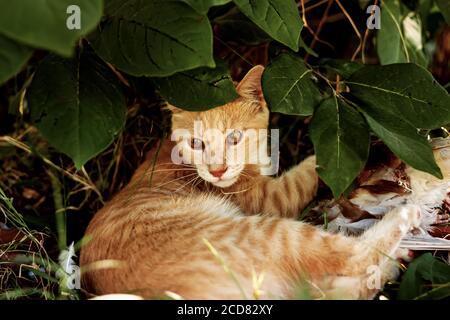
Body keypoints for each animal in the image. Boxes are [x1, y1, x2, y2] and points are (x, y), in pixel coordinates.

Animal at [81, 65, 422, 300]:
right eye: (196, 143)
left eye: (234, 138)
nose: (217, 171)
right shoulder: (271, 198)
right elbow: (307, 173)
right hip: (269, 234)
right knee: (351, 258)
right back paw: (403, 220)